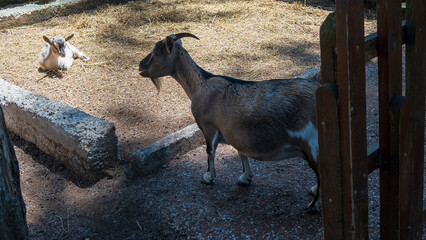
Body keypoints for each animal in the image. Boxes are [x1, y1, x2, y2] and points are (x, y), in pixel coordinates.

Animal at [138, 32, 322, 213]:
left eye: (155, 53)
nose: (140, 66)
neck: (200, 84)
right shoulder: (235, 130)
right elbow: (241, 152)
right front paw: (245, 178)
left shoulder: (209, 127)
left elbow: (210, 151)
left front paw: (208, 177)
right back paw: (313, 190)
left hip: (312, 145)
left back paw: (313, 205)